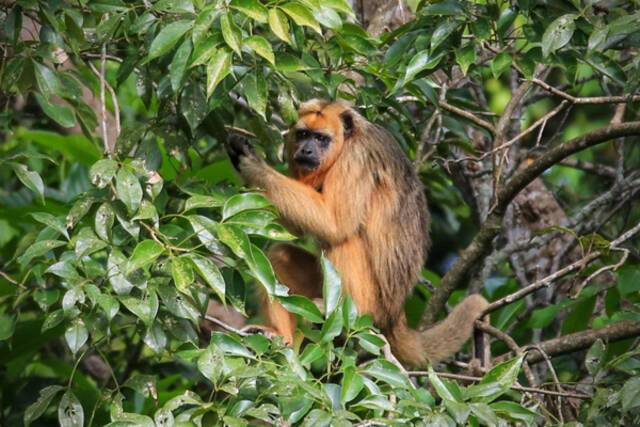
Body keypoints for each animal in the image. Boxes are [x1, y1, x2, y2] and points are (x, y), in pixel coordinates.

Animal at [228, 100, 488, 368]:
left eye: (321, 138)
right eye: (303, 134)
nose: (307, 150)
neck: (347, 140)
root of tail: (395, 314)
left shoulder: (355, 159)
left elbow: (334, 222)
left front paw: (253, 166)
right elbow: (295, 230)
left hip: (375, 305)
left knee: (345, 239)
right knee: (280, 254)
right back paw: (281, 338)